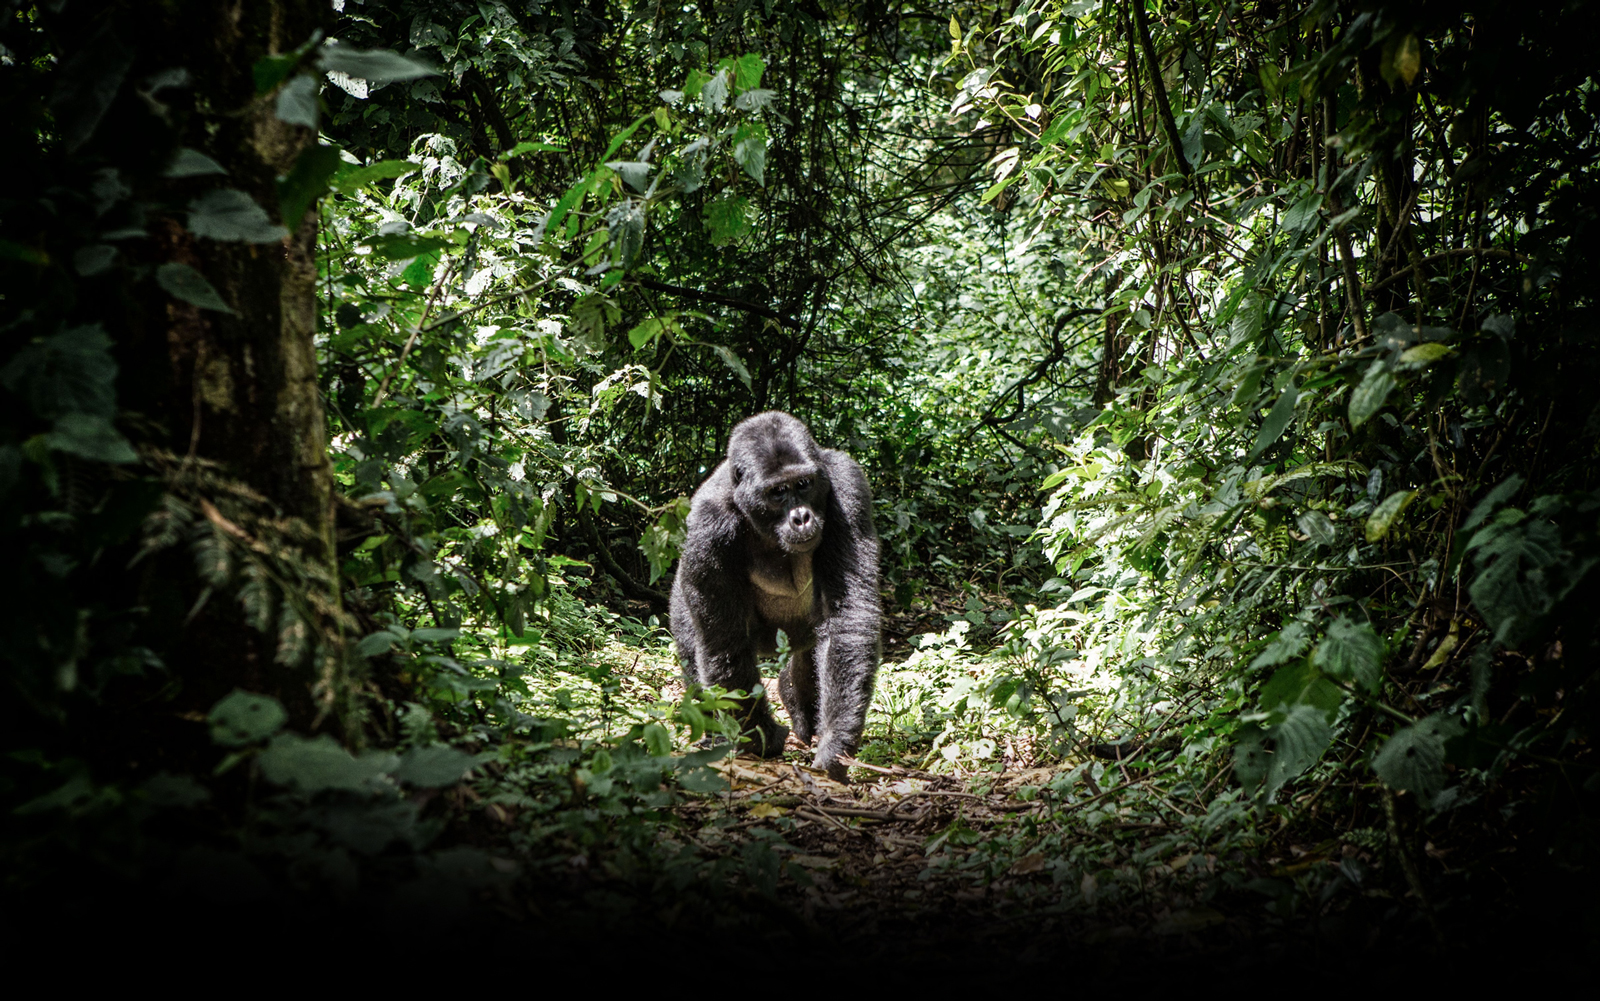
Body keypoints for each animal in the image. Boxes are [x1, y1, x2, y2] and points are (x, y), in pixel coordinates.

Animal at [668, 409, 883, 777]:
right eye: (778, 492)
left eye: (804, 485)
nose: (801, 518)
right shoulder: (707, 525)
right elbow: (725, 641)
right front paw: (761, 737)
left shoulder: (847, 484)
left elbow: (847, 616)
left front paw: (835, 741)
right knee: (693, 645)